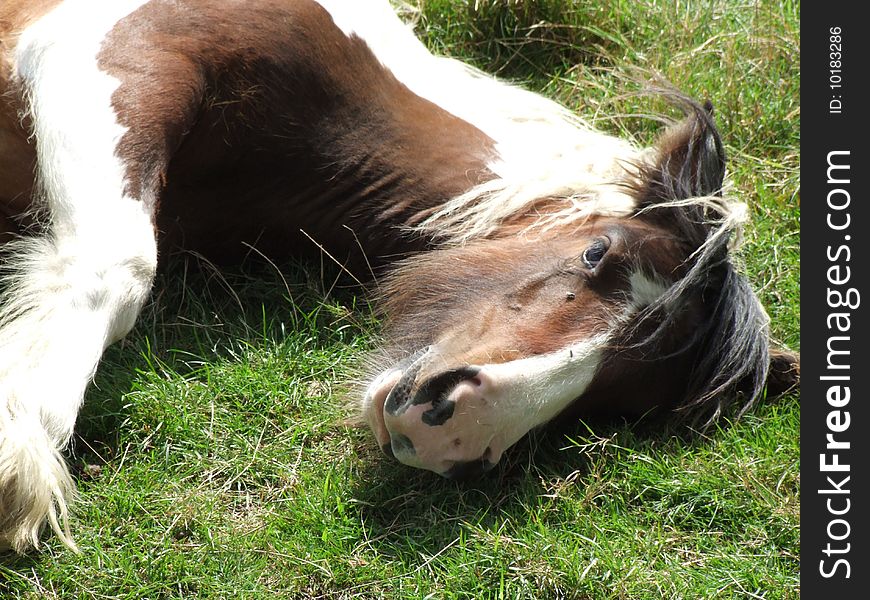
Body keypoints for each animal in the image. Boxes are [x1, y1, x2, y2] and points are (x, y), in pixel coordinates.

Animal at [1, 0, 804, 552]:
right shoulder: (102, 51)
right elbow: (113, 263)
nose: (456, 428)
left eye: (625, 400)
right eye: (596, 252)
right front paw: (18, 462)